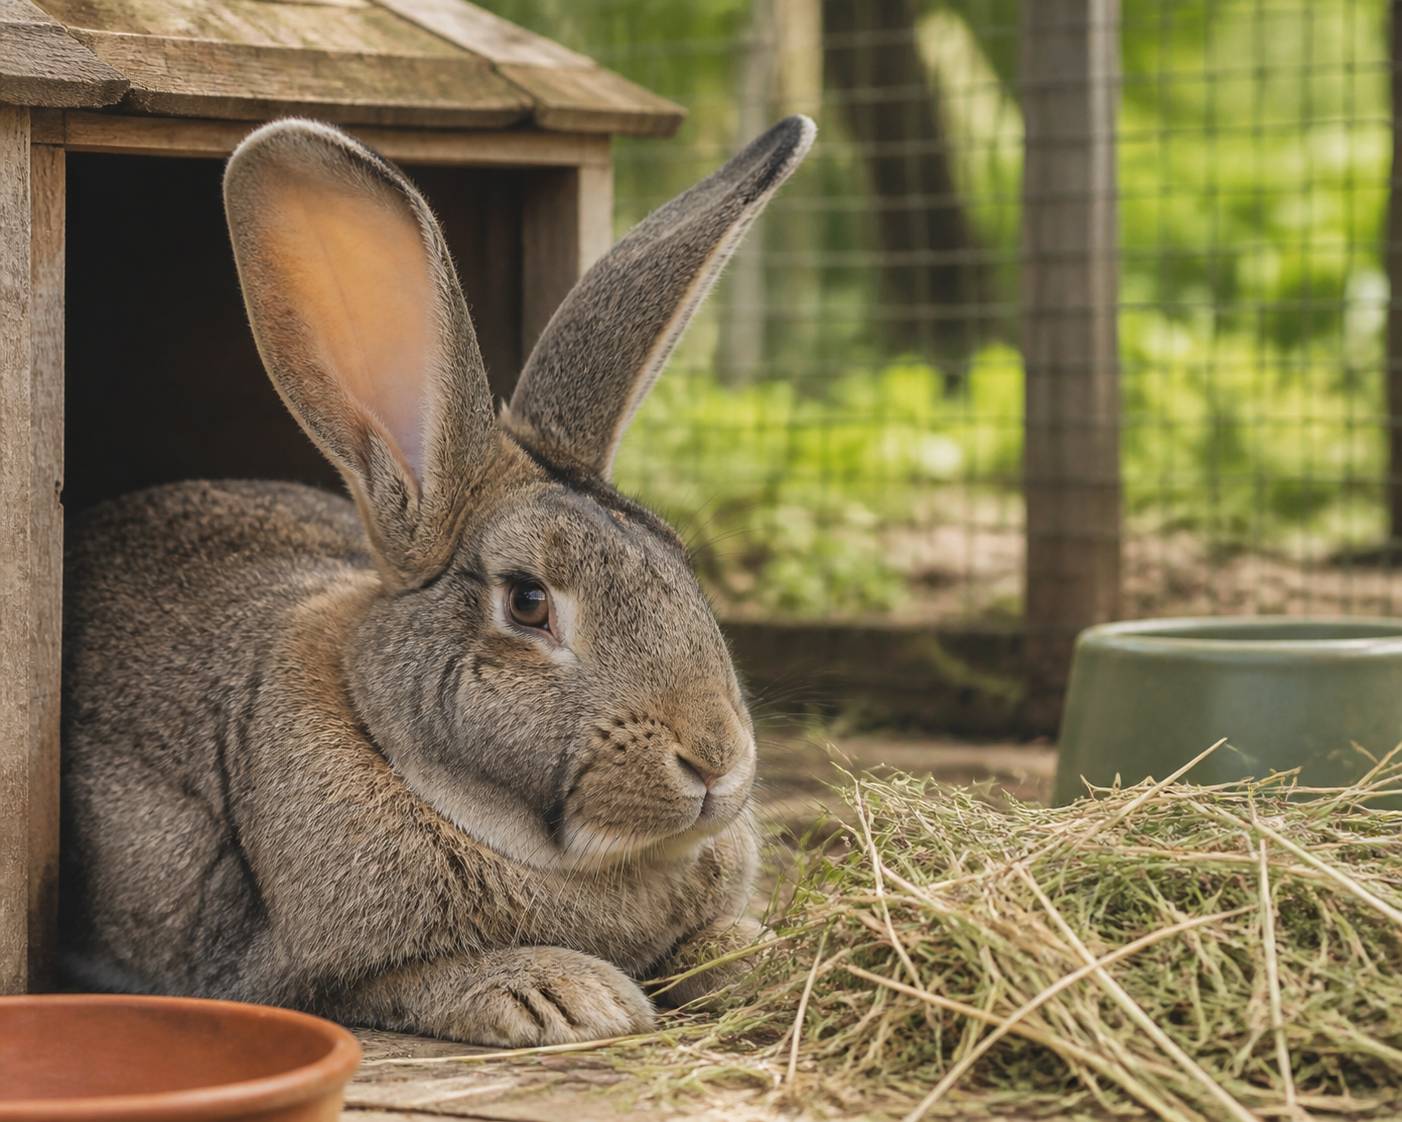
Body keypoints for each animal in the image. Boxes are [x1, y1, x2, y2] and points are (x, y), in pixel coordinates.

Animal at [58, 114, 815, 1045]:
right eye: (527, 602)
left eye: (680, 564)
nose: (715, 760)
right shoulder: (286, 971)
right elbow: (402, 981)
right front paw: (566, 993)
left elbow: (719, 942)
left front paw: (769, 956)